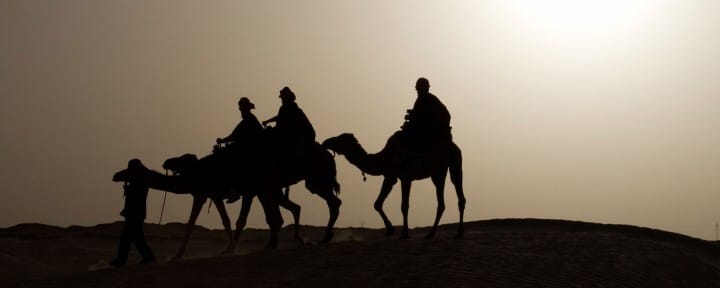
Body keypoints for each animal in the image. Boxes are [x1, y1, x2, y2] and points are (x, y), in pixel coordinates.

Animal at [113, 156, 284, 260]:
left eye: (129, 170)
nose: (115, 175)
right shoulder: (201, 195)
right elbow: (190, 224)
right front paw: (178, 254)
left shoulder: (212, 194)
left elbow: (225, 220)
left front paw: (231, 249)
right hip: (260, 190)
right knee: (272, 215)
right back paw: (271, 245)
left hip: (253, 190)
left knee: (255, 217)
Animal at [322, 132, 466, 238]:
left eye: (340, 139)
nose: (326, 142)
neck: (383, 157)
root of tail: (455, 147)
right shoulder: (391, 177)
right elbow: (377, 203)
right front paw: (391, 229)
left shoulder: (405, 177)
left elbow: (404, 206)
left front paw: (403, 233)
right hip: (441, 171)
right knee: (445, 201)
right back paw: (436, 233)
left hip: (450, 165)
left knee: (455, 193)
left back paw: (455, 233)